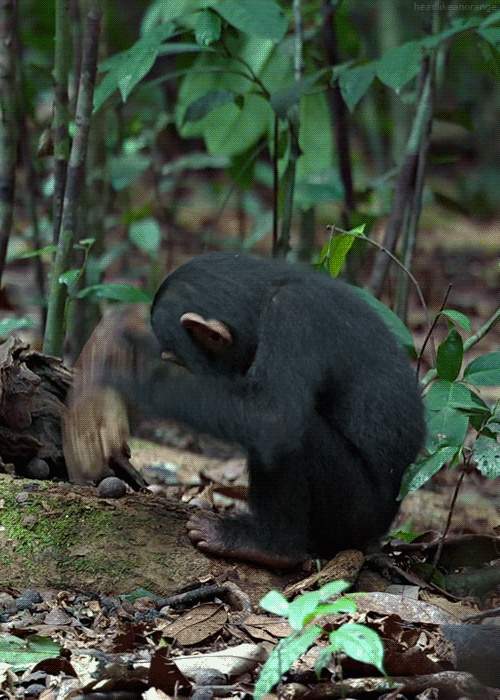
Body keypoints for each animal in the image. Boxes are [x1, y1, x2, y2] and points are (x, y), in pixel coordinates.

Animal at [123, 252, 424, 568]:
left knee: (293, 434)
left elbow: (272, 416)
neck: (262, 302)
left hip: (354, 515)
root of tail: (378, 535)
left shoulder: (294, 317)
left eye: (179, 361)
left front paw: (132, 375)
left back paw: (268, 545)